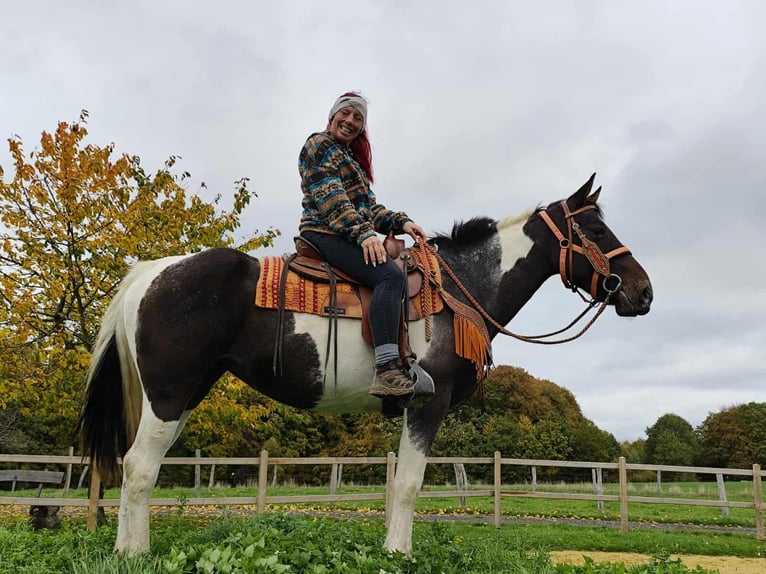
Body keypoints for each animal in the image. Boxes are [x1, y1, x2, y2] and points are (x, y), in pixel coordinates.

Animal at [76, 174, 652, 556]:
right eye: (597, 230)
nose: (644, 293)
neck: (459, 287)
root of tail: (151, 271)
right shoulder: (428, 402)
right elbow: (409, 485)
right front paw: (398, 554)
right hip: (169, 393)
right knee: (139, 468)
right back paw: (134, 553)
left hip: (185, 394)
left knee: (135, 465)